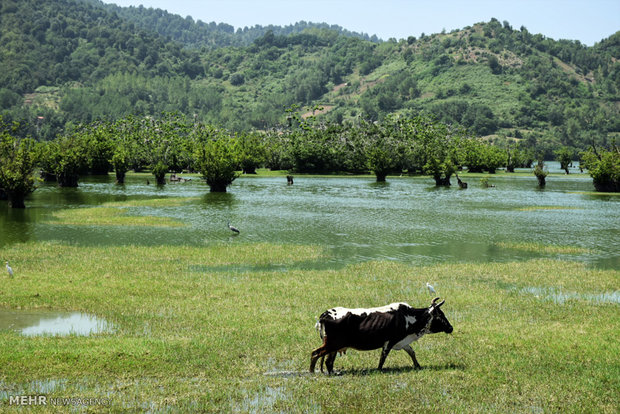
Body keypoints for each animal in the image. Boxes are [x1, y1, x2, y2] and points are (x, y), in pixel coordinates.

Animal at [312, 296, 452, 374]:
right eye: (440, 315)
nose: (451, 328)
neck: (407, 316)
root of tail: (325, 314)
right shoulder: (389, 342)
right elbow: (383, 358)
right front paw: (379, 370)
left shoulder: (403, 342)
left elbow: (412, 352)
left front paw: (418, 366)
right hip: (331, 344)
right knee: (315, 354)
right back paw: (312, 371)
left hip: (333, 347)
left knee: (328, 361)